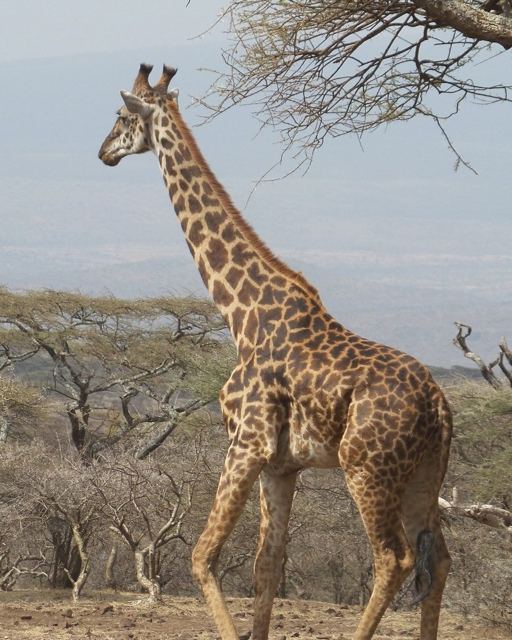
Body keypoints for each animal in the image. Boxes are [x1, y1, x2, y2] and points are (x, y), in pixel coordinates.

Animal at [99, 64, 452, 640]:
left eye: (123, 116)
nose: (103, 151)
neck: (240, 314)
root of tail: (440, 407)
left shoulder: (246, 443)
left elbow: (202, 555)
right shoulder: (281, 465)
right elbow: (269, 563)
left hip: (367, 468)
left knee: (394, 558)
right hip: (424, 474)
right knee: (438, 559)